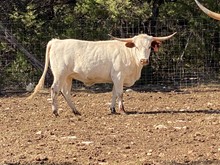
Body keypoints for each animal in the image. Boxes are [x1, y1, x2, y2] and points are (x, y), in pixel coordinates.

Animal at [28, 32, 176, 116]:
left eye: (149, 47)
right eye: (136, 46)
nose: (144, 60)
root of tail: (57, 41)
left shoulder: (115, 79)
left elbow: (114, 93)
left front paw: (113, 109)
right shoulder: (119, 76)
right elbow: (120, 93)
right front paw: (123, 110)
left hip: (68, 77)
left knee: (66, 92)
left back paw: (76, 111)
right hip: (60, 74)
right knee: (54, 89)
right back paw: (55, 112)